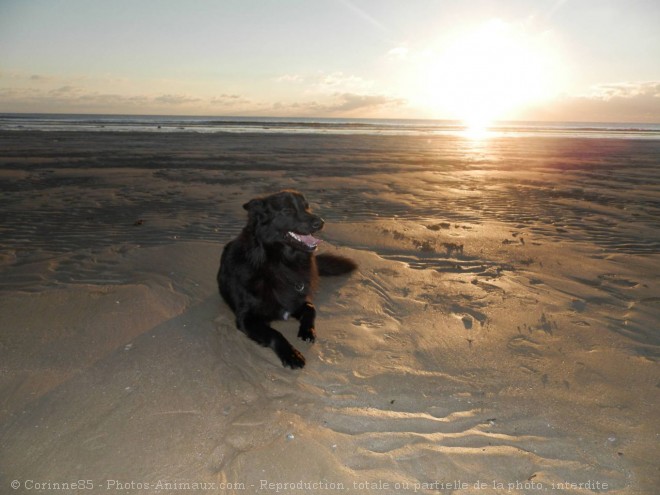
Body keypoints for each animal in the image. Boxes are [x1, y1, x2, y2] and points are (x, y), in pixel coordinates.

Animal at [218, 190, 358, 368]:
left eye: (307, 207)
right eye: (287, 211)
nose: (321, 223)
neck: (280, 263)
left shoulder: (296, 300)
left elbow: (311, 308)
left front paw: (307, 331)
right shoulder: (247, 318)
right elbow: (275, 333)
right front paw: (291, 354)